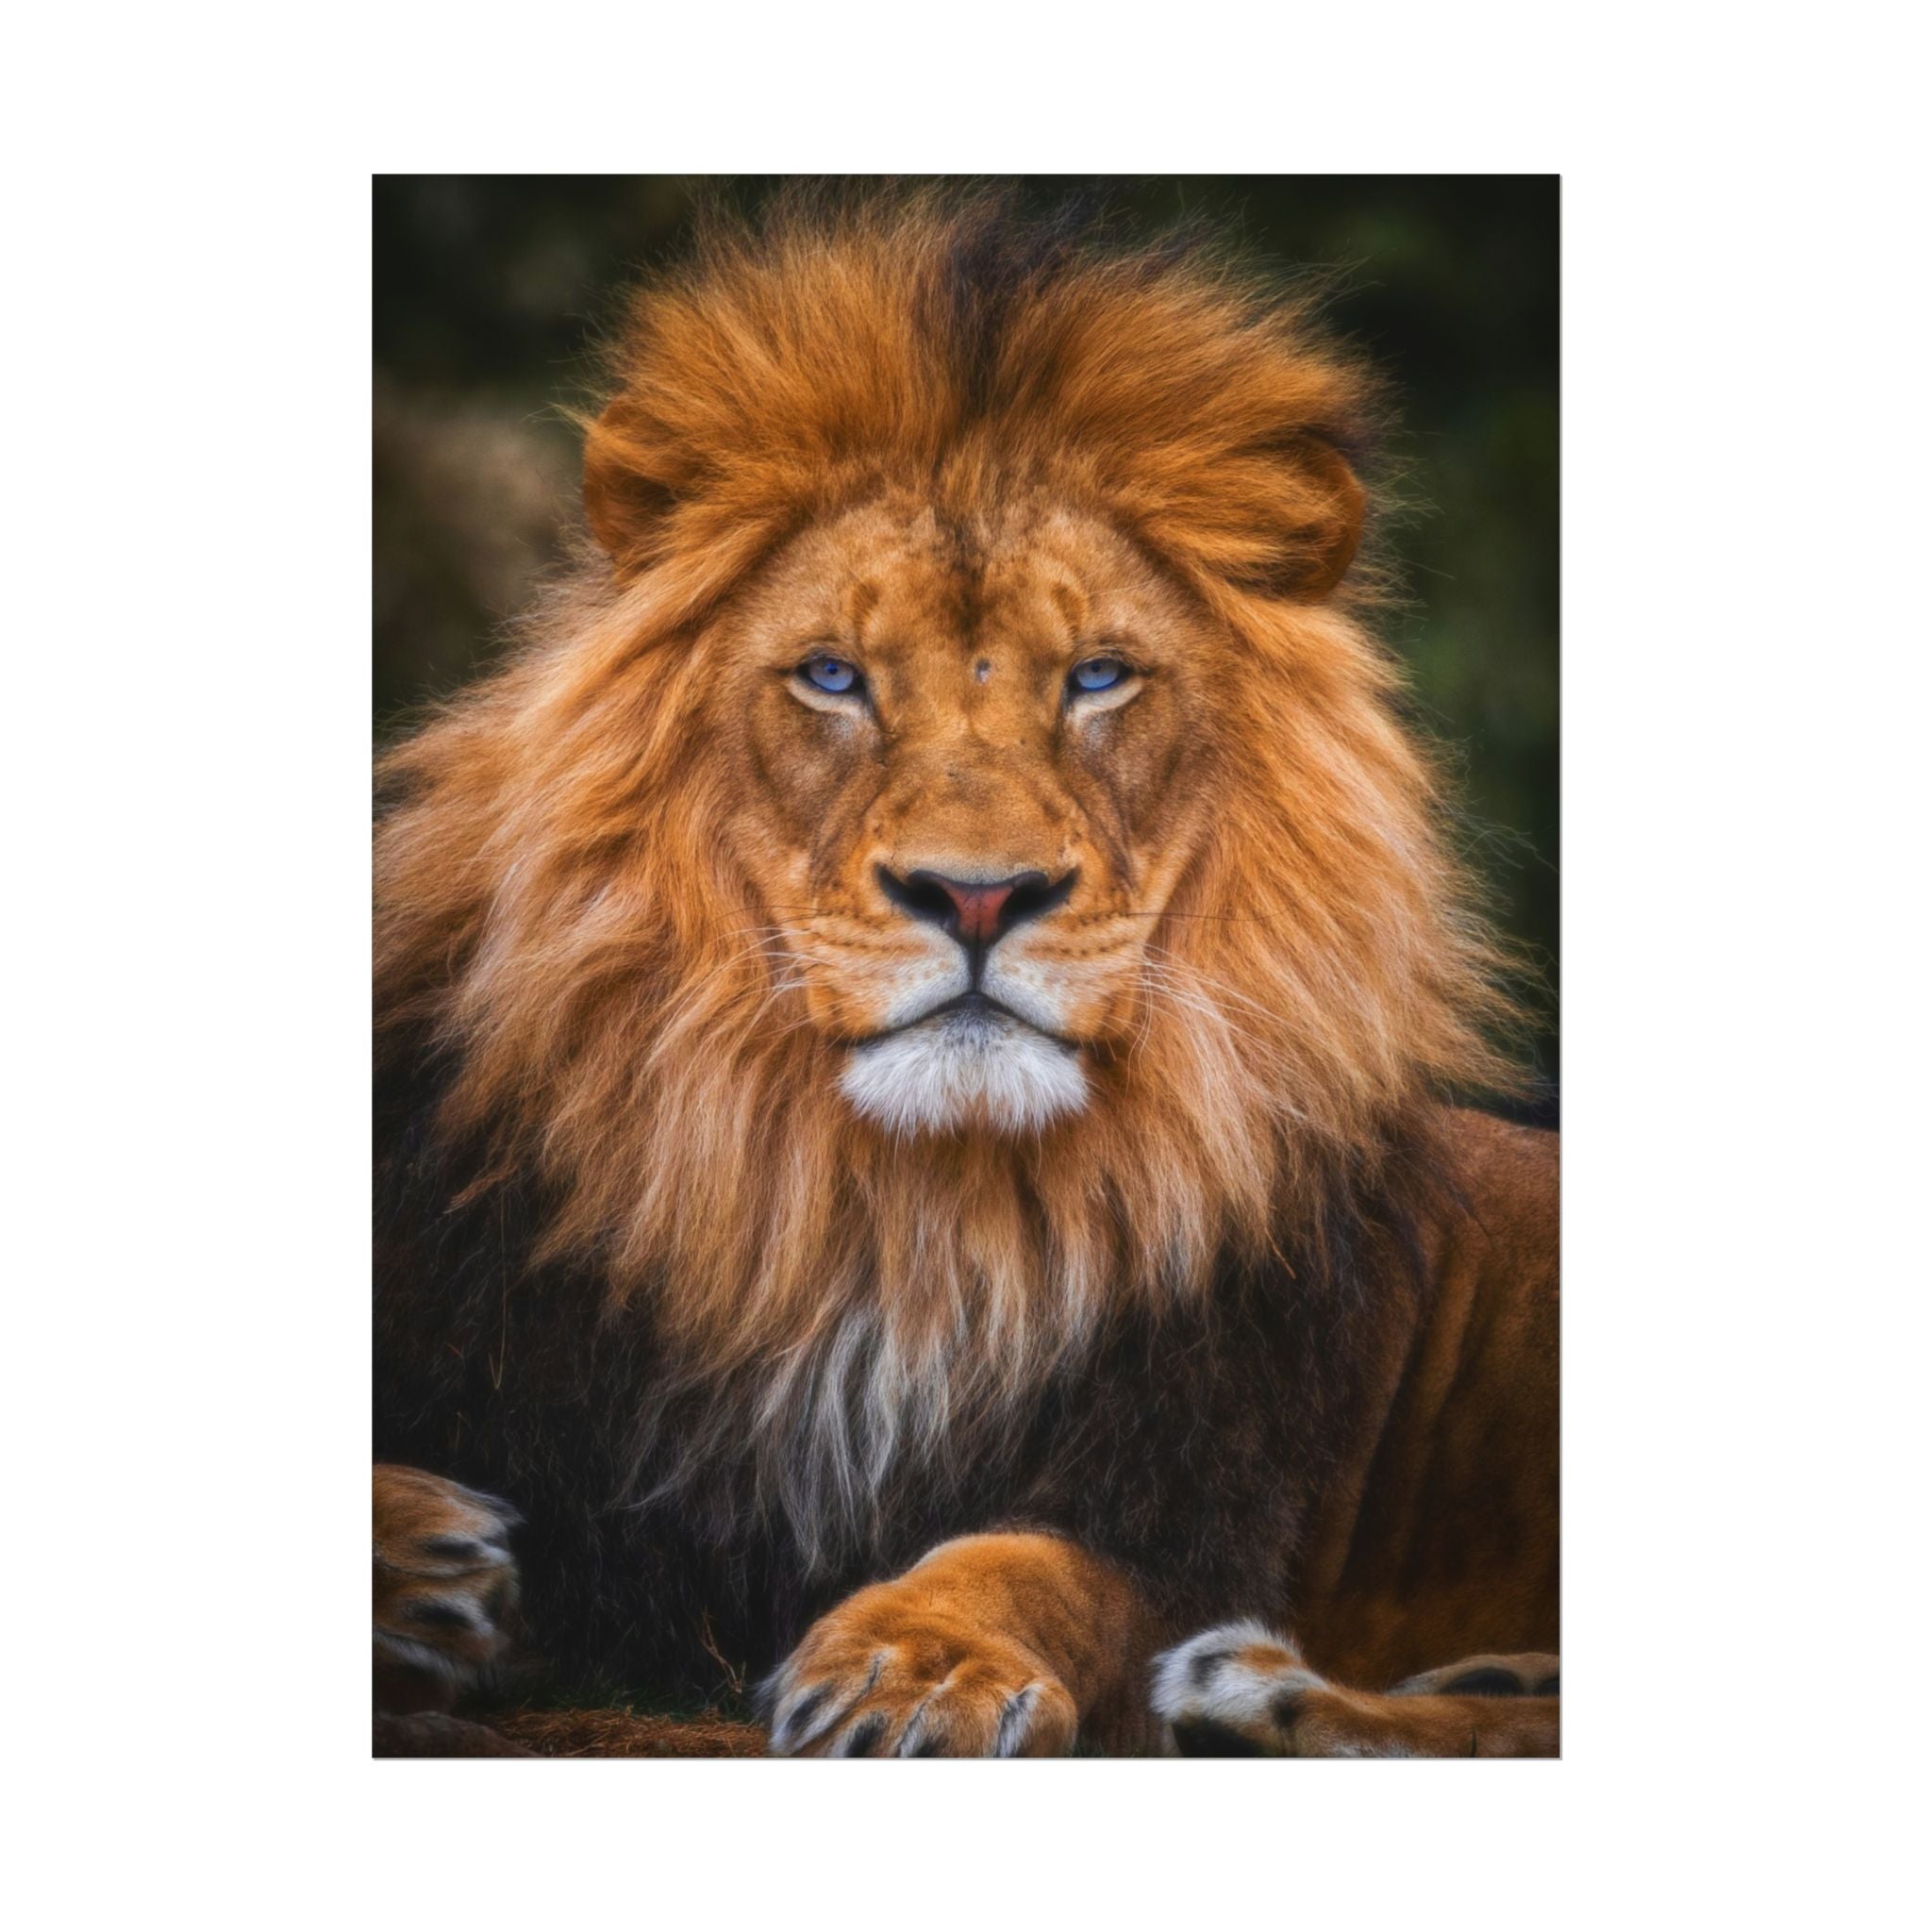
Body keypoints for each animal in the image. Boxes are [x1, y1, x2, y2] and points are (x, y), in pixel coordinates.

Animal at [373, 188, 1558, 1757]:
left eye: (1099, 677)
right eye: (832, 676)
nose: (979, 894)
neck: (899, 1217)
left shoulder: (1190, 1500)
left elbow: (1033, 1563)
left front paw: (915, 1665)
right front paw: (418, 1564)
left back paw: (1257, 1694)